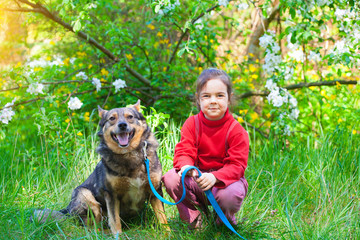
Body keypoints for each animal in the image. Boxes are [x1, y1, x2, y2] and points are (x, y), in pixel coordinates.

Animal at [33, 100, 168, 235]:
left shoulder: (155, 190)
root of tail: (66, 210)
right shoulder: (111, 195)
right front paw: (118, 235)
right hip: (87, 197)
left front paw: (167, 233)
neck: (129, 155)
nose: (122, 125)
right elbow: (115, 220)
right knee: (91, 227)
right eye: (112, 118)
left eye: (130, 117)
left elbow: (162, 217)